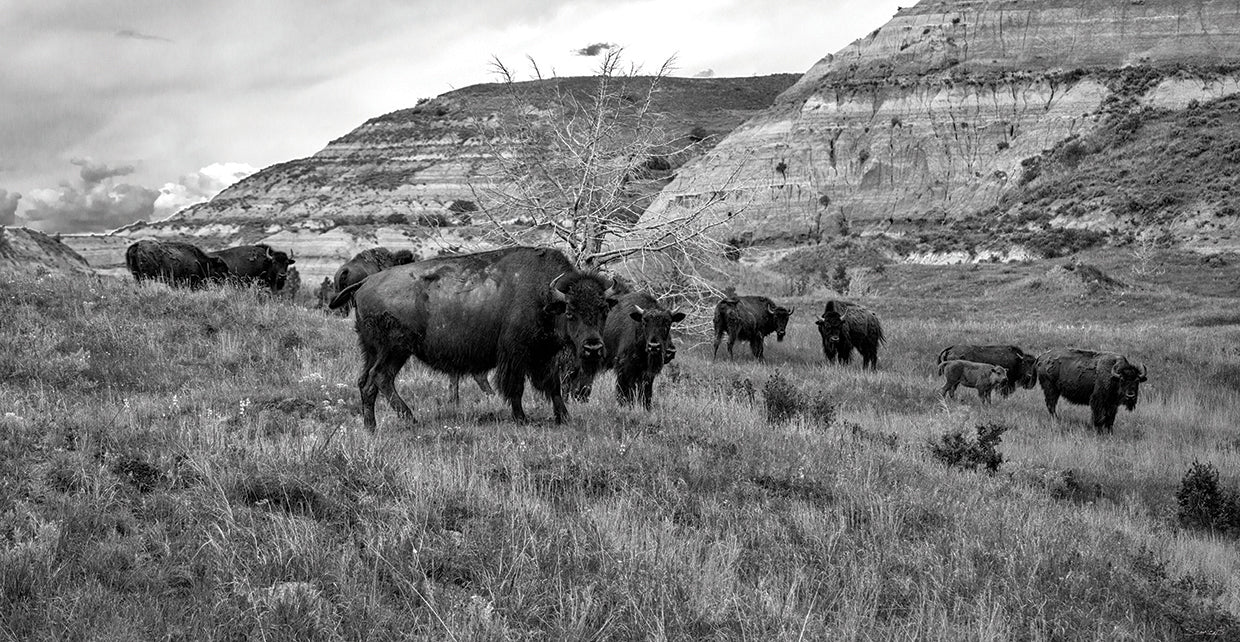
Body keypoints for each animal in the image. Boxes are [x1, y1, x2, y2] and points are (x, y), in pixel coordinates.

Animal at [329, 246, 616, 429]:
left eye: (603, 310)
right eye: (570, 312)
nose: (592, 347)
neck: (543, 295)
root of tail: (365, 283)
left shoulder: (542, 356)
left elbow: (553, 386)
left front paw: (564, 418)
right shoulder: (515, 355)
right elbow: (516, 388)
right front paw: (521, 419)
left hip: (371, 349)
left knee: (365, 382)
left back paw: (371, 427)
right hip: (395, 350)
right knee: (381, 377)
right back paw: (410, 418)